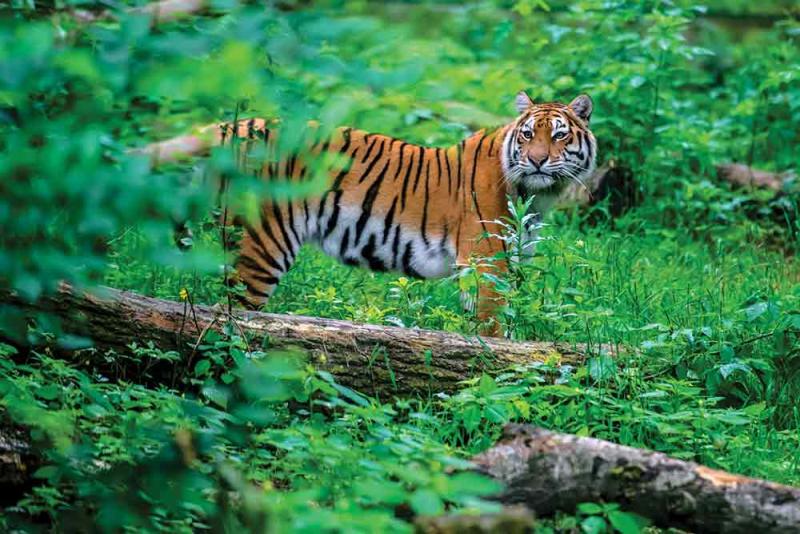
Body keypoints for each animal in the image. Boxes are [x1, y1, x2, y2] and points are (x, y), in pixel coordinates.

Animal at [150, 91, 596, 333]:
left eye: (559, 136)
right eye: (528, 135)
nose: (537, 161)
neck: (537, 195)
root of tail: (231, 126)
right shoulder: (487, 262)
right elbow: (494, 324)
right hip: (262, 242)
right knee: (235, 316)